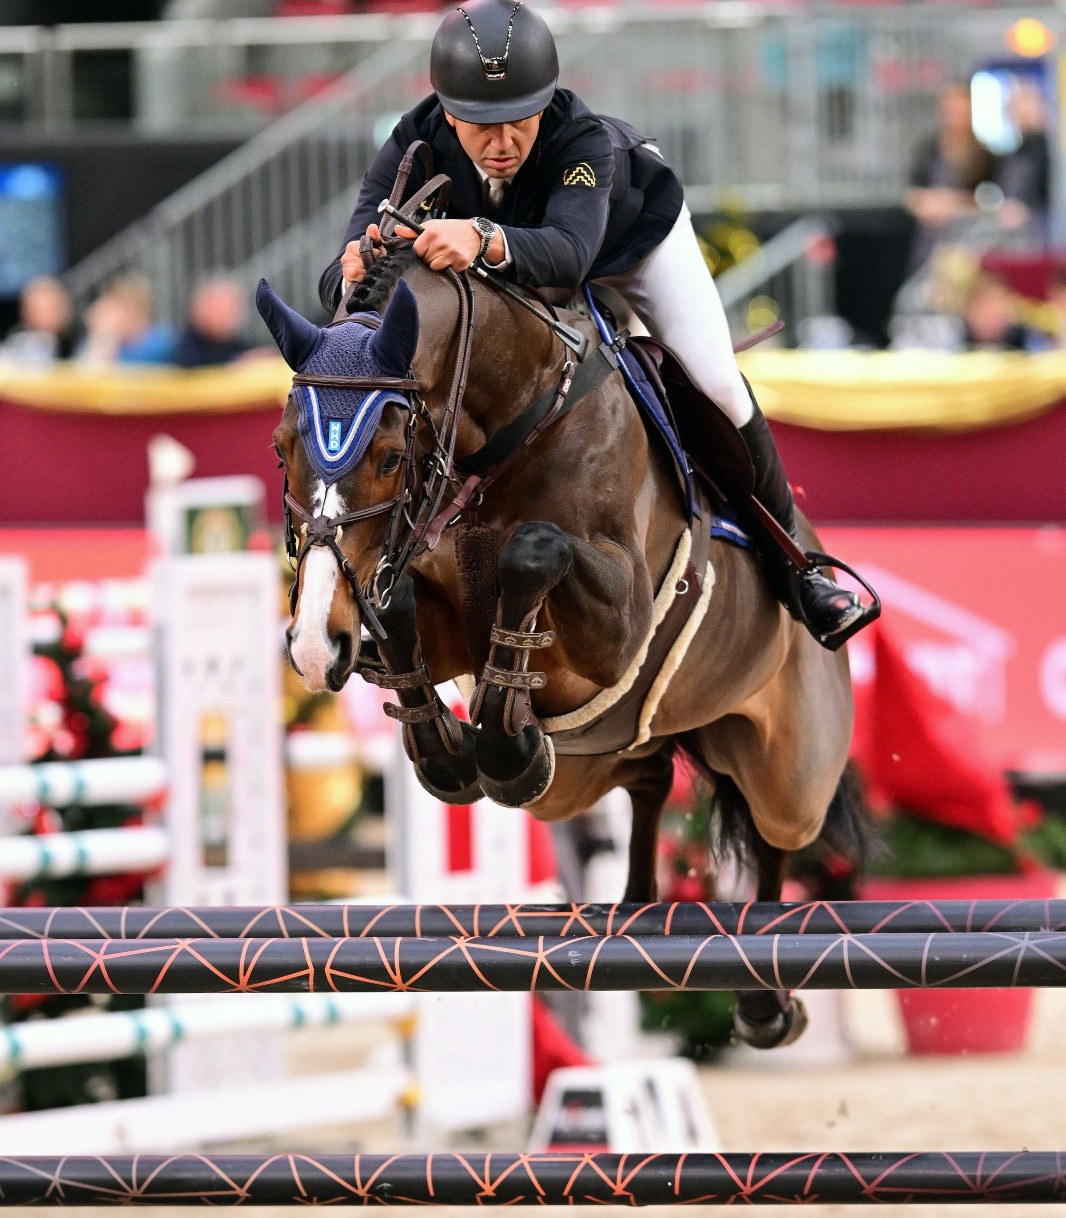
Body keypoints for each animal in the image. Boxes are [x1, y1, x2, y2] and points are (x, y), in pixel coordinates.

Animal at [260, 244, 861, 1049]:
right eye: (281, 449)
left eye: (388, 456)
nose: (313, 644)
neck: (510, 423)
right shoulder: (427, 601)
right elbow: (405, 613)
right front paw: (455, 749)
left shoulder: (620, 625)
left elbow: (534, 549)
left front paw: (500, 745)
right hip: (585, 775)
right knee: (648, 778)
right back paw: (633, 902)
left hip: (790, 771)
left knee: (775, 841)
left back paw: (765, 1000)